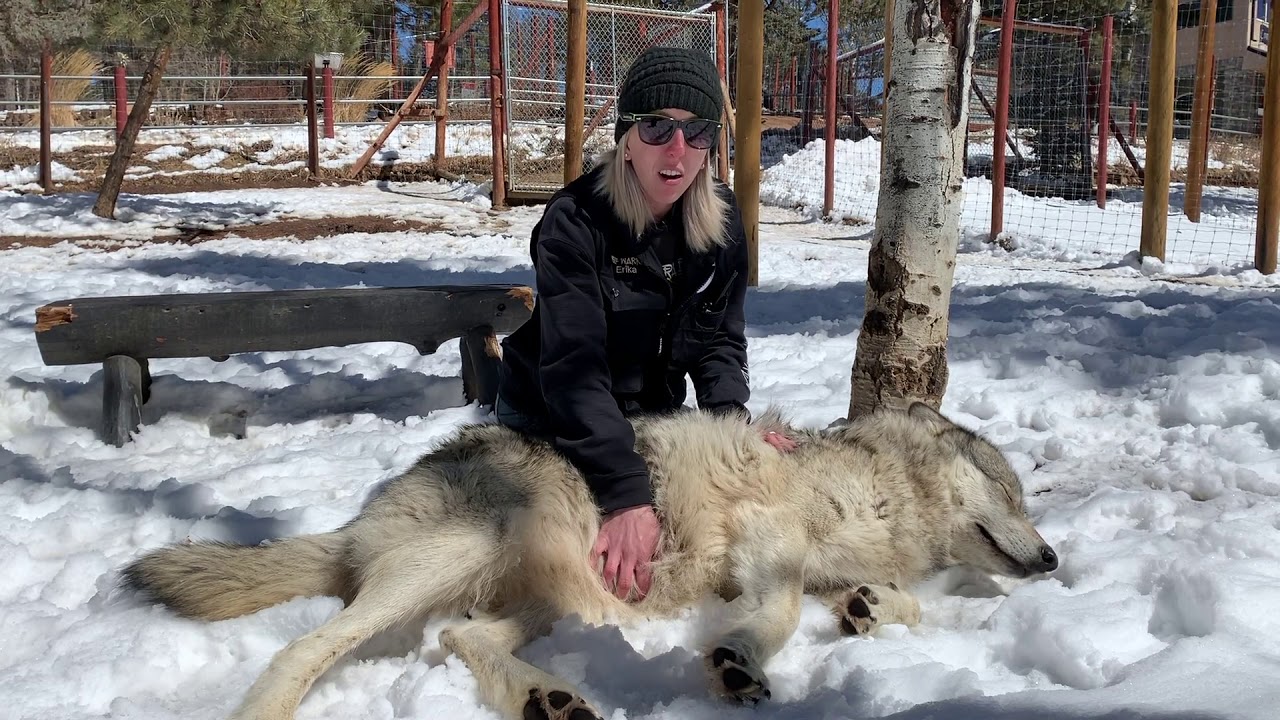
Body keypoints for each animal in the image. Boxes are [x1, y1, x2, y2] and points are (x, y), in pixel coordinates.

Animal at [122, 402, 1058, 720]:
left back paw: (549, 701)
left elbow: (903, 600)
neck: (884, 490)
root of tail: (360, 519)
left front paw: (870, 607)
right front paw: (735, 660)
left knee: (460, 638)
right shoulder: (769, 535)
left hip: (554, 600)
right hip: (472, 549)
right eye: (1014, 494)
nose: (1051, 558)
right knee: (307, 646)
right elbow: (782, 609)